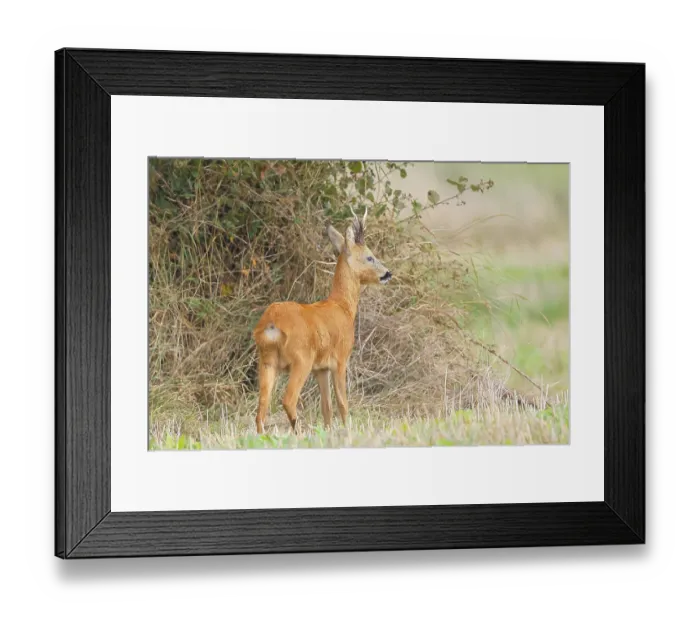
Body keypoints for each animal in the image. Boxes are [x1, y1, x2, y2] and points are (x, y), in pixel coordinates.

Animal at [252, 207, 392, 435]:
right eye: (370, 257)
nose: (388, 273)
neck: (343, 307)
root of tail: (271, 325)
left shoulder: (321, 368)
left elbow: (326, 406)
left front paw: (328, 432)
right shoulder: (341, 358)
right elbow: (342, 403)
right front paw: (347, 430)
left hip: (266, 360)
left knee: (261, 407)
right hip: (301, 359)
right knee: (288, 400)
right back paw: (298, 432)